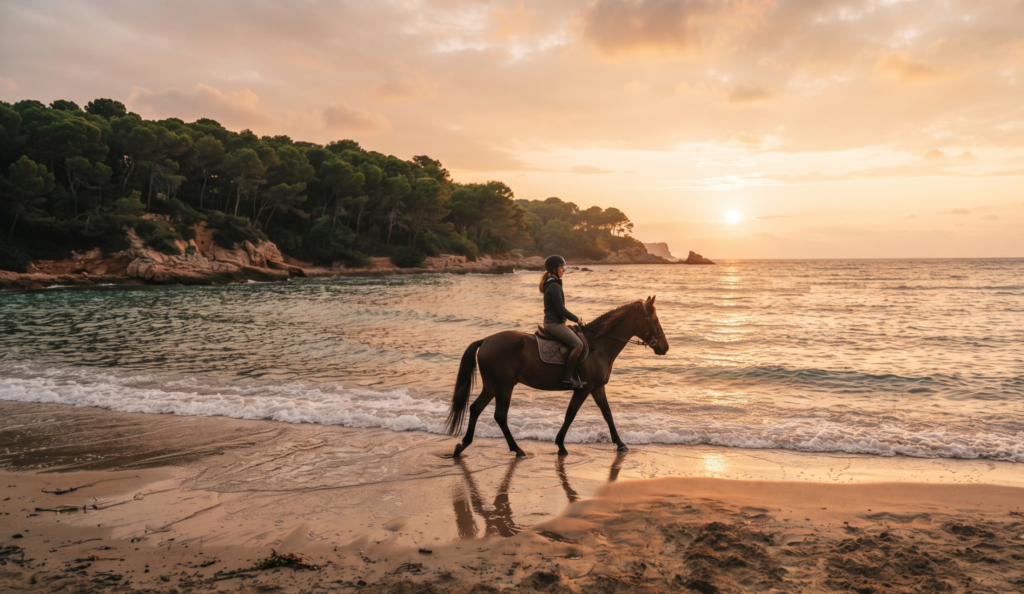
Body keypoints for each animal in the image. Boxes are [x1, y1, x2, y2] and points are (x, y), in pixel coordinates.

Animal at [444, 295, 669, 457]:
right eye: (655, 320)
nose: (665, 348)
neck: (599, 346)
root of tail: (485, 341)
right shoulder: (584, 389)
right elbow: (571, 414)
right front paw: (561, 445)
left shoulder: (597, 388)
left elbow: (607, 414)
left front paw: (621, 444)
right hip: (504, 387)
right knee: (500, 415)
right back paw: (517, 449)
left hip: (492, 386)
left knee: (475, 409)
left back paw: (463, 445)